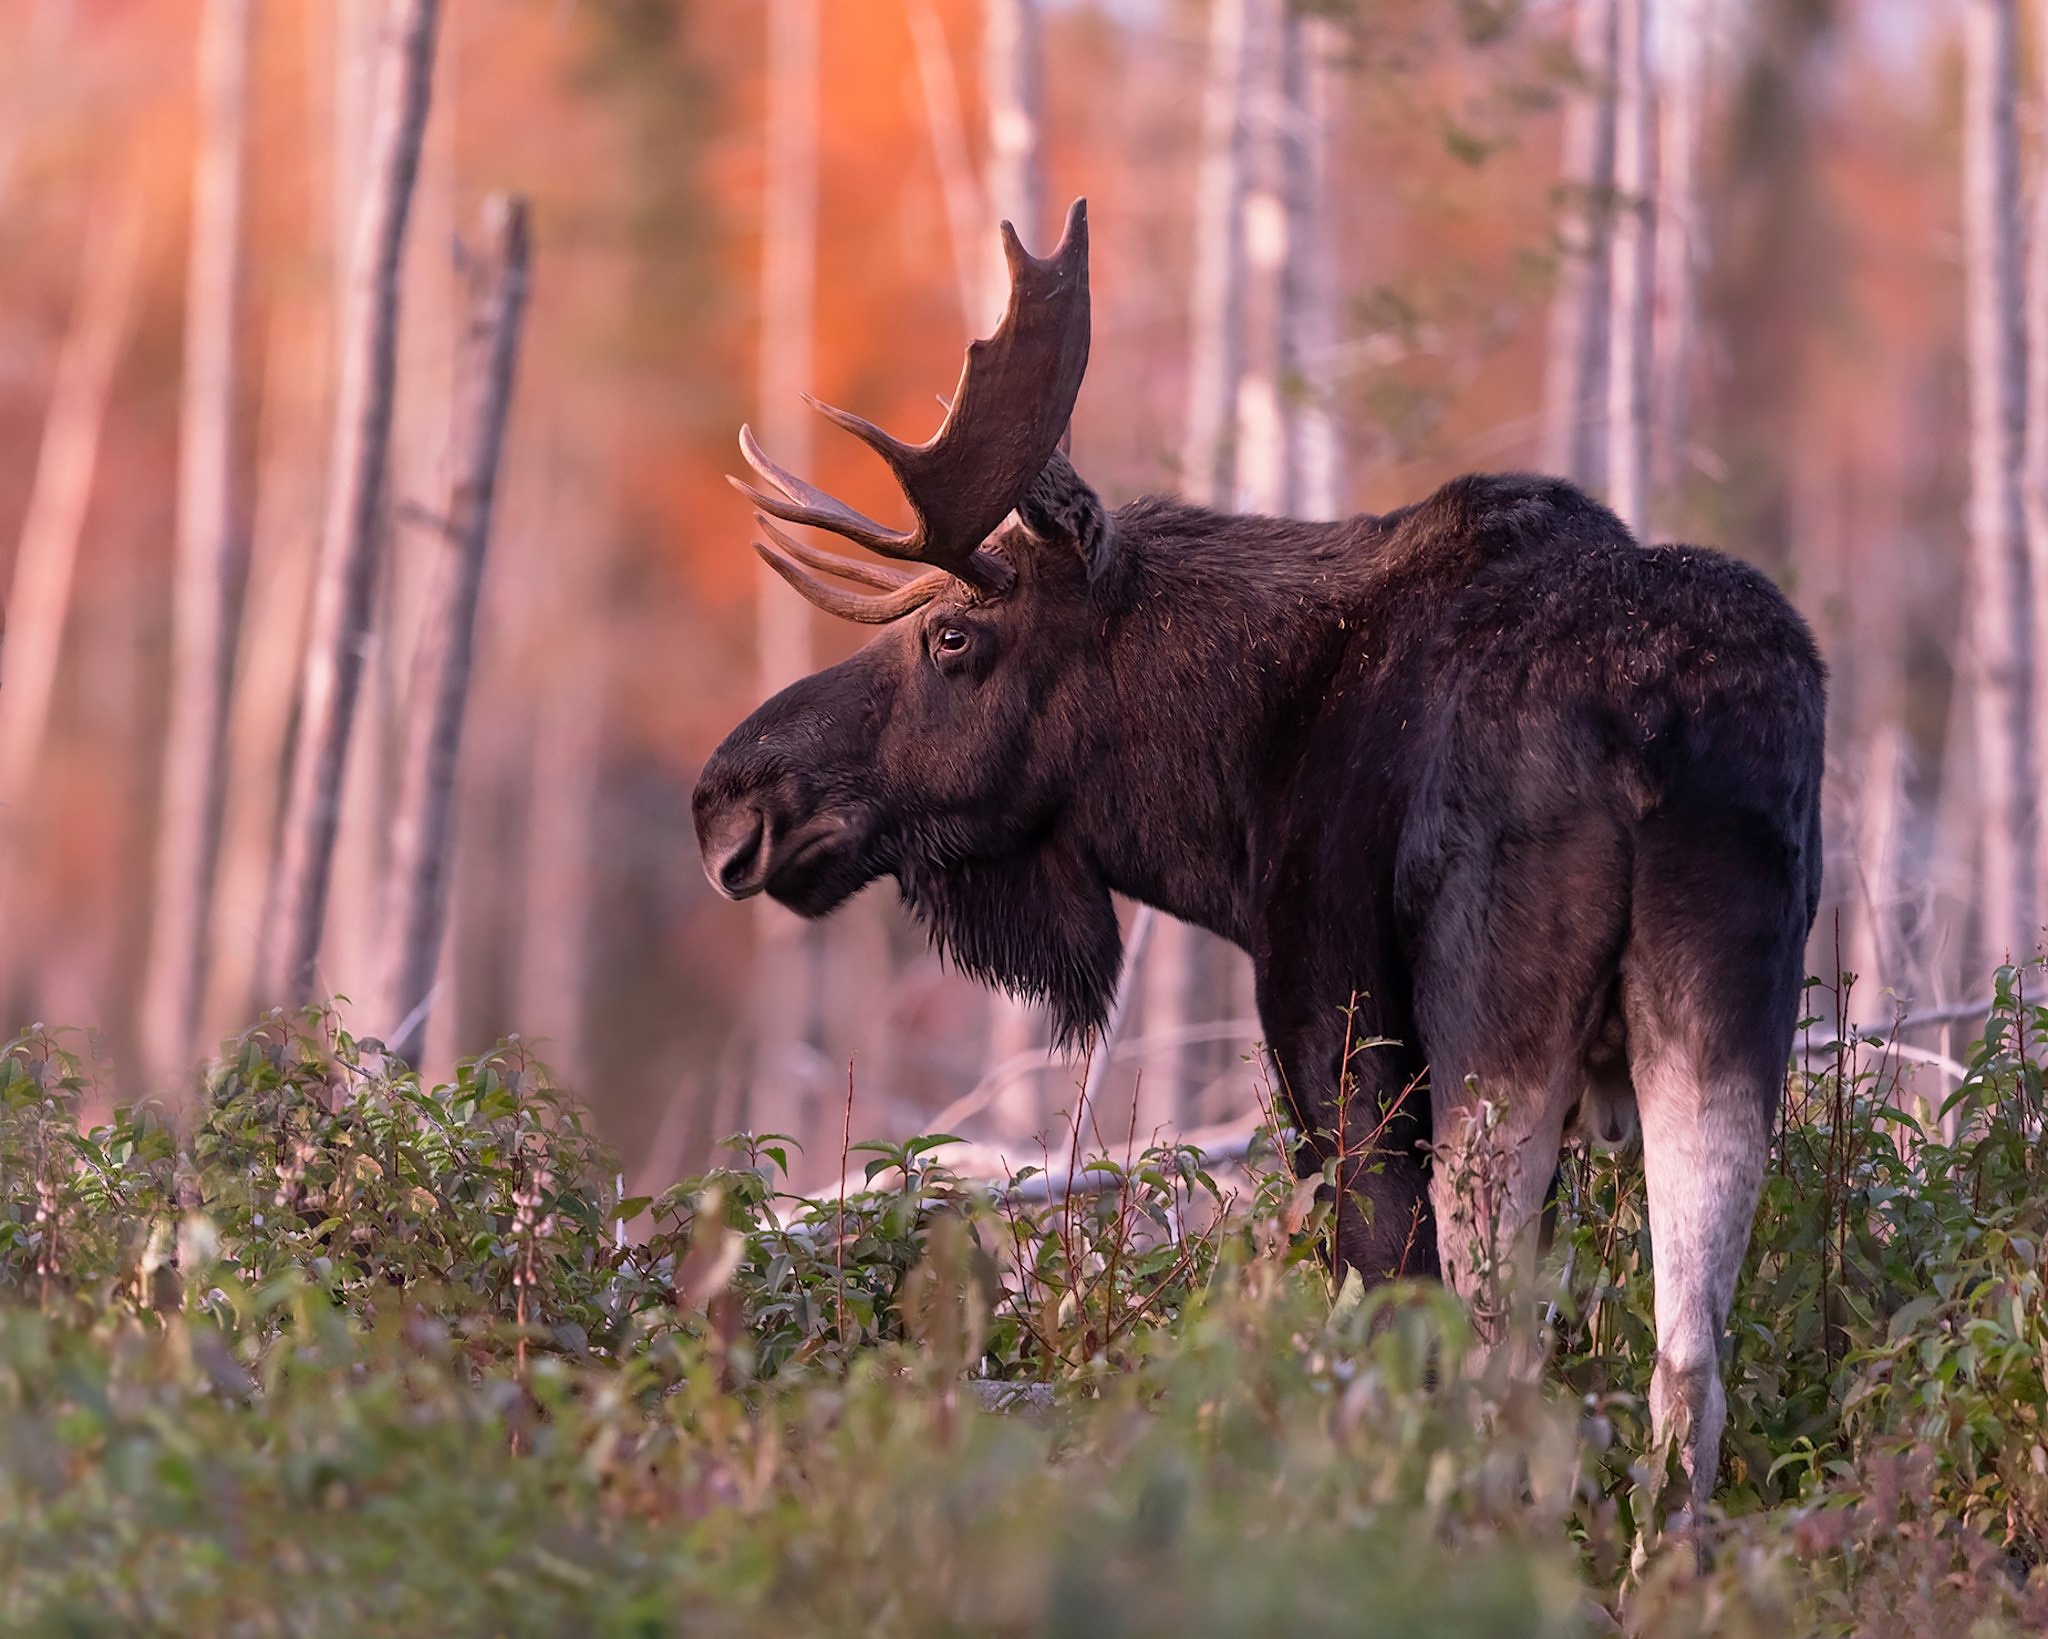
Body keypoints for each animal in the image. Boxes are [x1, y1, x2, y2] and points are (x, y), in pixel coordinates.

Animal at [692, 201, 1826, 1524]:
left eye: (953, 636)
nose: (727, 801)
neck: (1228, 803)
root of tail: (1652, 728)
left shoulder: (1327, 1024)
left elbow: (1381, 1318)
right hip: (1727, 1014)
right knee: (1687, 1362)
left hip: (1490, 1031)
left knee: (1499, 1357)